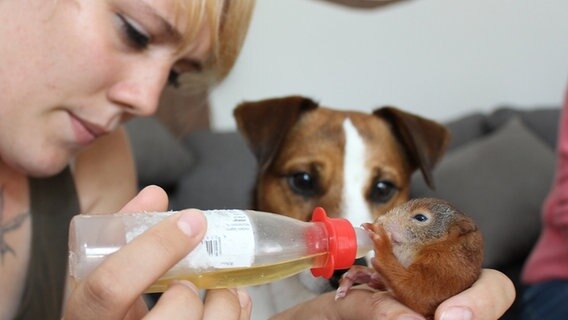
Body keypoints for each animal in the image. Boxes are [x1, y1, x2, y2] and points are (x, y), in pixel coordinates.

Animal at [336, 198, 482, 318]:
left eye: (420, 217)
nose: (379, 222)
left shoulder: (447, 267)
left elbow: (417, 292)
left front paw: (381, 241)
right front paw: (362, 274)